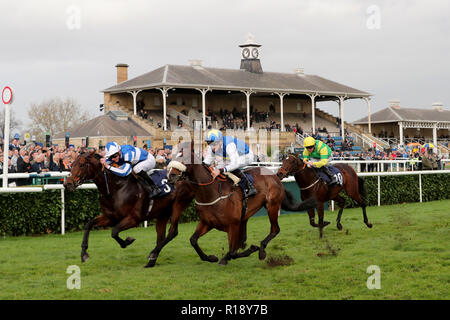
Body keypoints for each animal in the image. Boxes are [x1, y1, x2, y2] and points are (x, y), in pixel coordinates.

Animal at [62, 151, 193, 268]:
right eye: (71, 164)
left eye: (82, 165)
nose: (67, 184)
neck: (116, 188)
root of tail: (184, 175)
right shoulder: (110, 217)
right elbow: (88, 225)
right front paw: (84, 254)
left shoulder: (133, 219)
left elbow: (114, 231)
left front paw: (127, 241)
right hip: (163, 213)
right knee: (160, 237)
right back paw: (151, 261)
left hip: (178, 206)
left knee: (172, 232)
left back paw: (152, 255)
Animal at [165, 142, 316, 264]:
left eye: (183, 158)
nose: (170, 175)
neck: (211, 192)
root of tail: (275, 176)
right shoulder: (207, 222)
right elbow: (193, 240)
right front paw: (210, 257)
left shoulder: (232, 225)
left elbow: (232, 252)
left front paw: (250, 249)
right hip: (247, 214)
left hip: (272, 206)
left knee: (275, 229)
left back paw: (261, 250)